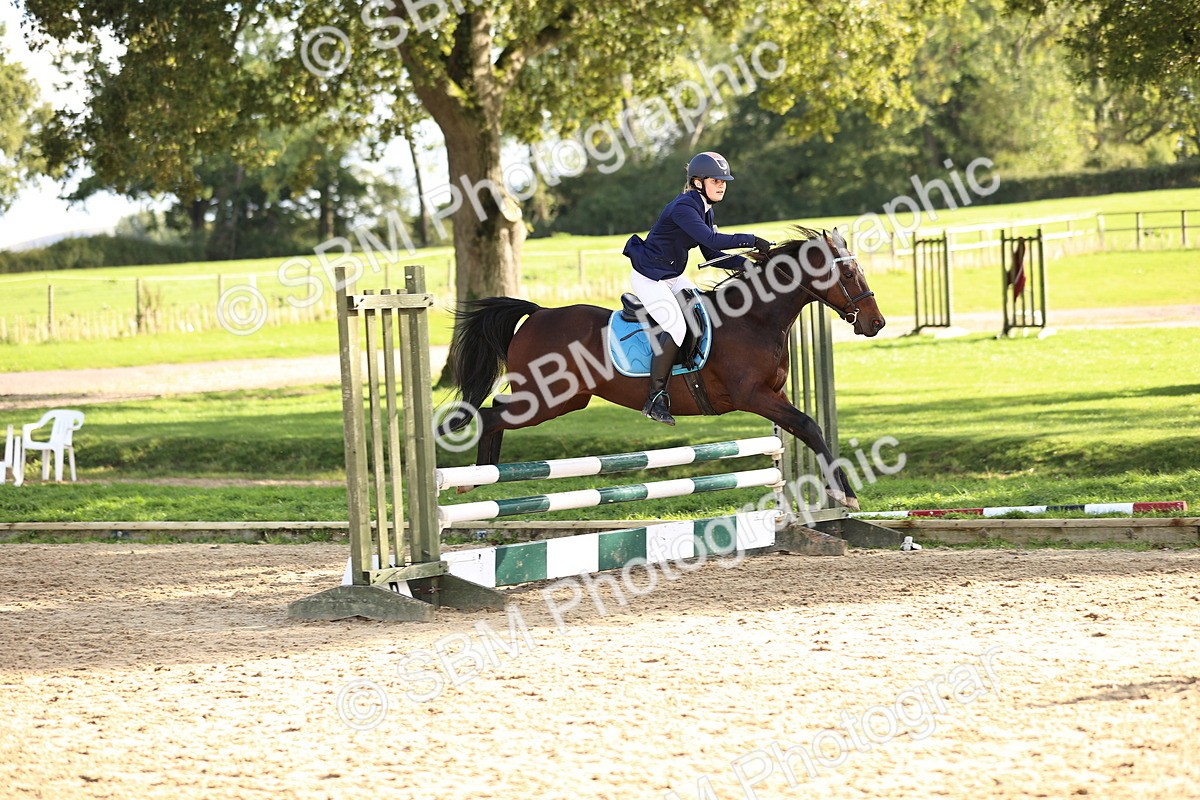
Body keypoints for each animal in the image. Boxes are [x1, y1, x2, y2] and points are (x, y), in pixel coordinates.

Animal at [442, 227, 886, 509]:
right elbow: (809, 425)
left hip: (566, 401)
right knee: (490, 414)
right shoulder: (754, 397)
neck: (754, 318)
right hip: (545, 399)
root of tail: (538, 314)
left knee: (496, 412)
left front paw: (840, 491)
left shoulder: (774, 395)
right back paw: (475, 478)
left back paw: (480, 477)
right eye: (848, 273)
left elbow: (810, 429)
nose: (876, 323)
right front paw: (843, 494)